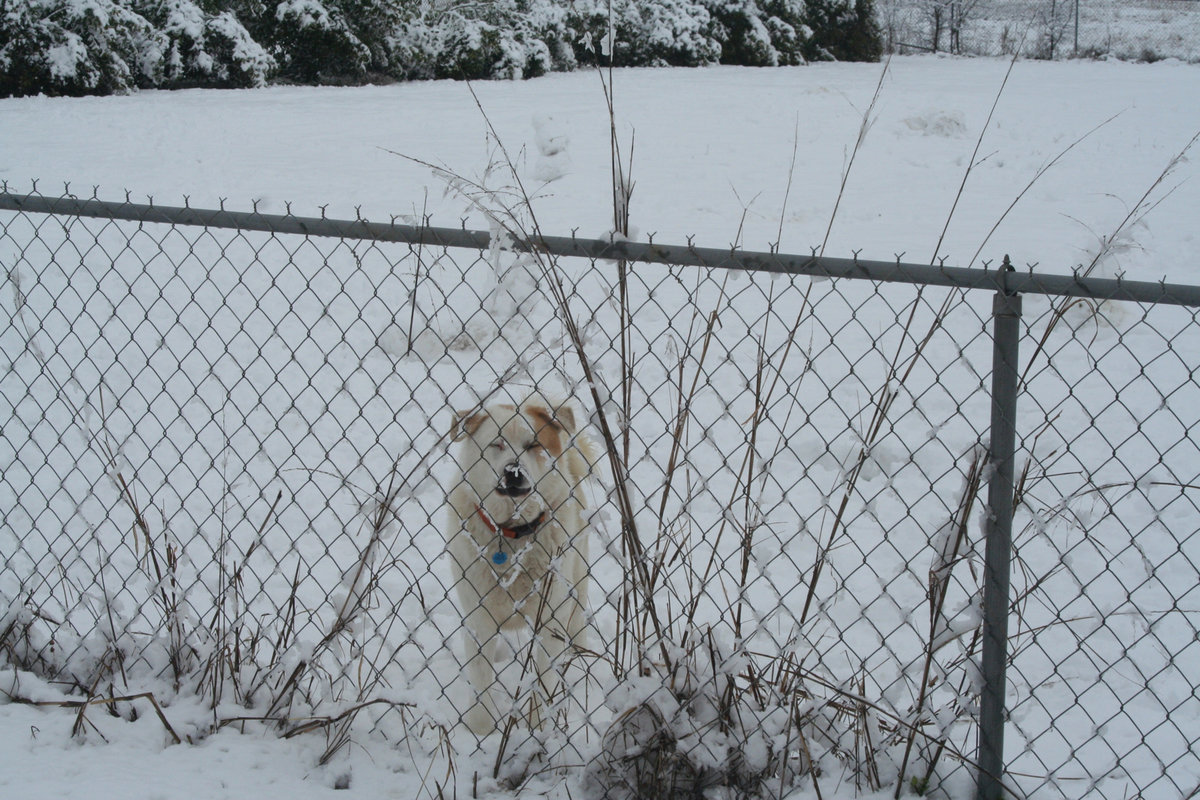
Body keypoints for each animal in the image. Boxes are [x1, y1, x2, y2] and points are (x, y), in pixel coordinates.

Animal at [446, 395, 600, 738]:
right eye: (497, 444)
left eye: (532, 445)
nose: (513, 472)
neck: (512, 535)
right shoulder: (479, 619)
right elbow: (480, 679)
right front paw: (480, 731)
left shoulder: (549, 620)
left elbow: (542, 680)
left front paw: (537, 727)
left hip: (577, 582)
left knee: (578, 622)